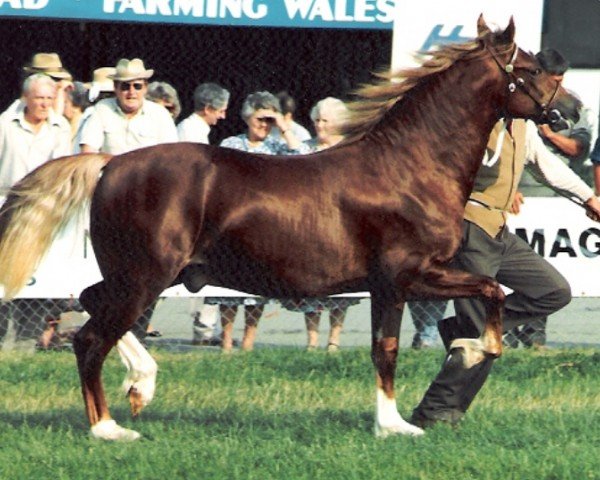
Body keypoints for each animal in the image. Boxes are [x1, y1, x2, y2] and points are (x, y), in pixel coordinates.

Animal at [0, 17, 576, 438]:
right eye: (529, 68)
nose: (571, 112)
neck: (410, 167)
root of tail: (109, 164)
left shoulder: (393, 284)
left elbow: (414, 331)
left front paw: (400, 412)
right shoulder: (404, 276)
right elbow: (441, 318)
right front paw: (417, 404)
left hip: (142, 275)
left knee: (89, 302)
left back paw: (141, 387)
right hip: (145, 276)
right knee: (90, 337)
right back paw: (109, 428)